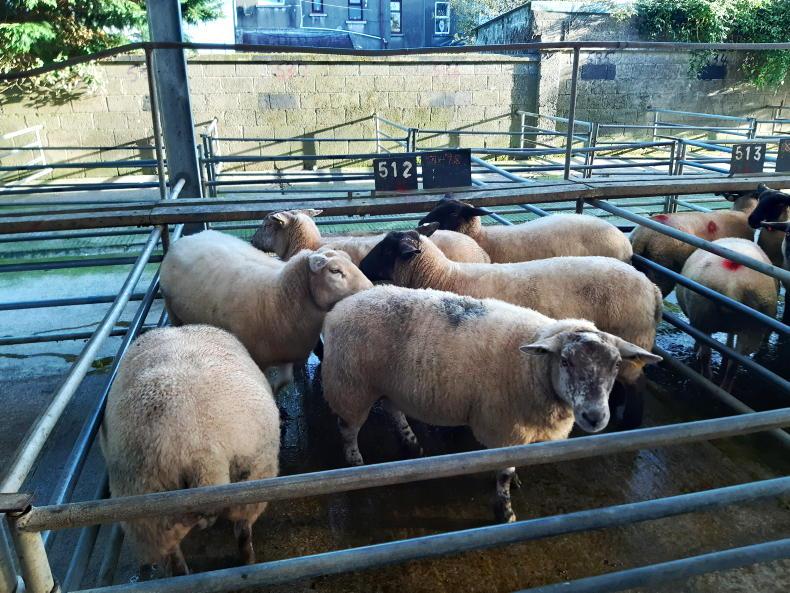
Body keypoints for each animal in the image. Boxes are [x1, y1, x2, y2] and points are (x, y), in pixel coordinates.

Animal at [100, 325, 280, 578]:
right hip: (254, 476)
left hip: (148, 509)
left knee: (173, 556)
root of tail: (203, 452)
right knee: (243, 530)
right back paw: (248, 563)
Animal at [160, 230, 372, 390]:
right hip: (172, 311)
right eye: (335, 271)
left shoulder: (287, 352)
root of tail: (188, 237)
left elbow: (284, 381)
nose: (370, 289)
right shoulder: (257, 359)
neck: (278, 296)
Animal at [321, 285, 661, 522]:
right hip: (351, 386)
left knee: (393, 410)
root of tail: (339, 308)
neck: (531, 368)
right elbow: (504, 474)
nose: (595, 416)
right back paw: (355, 462)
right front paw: (505, 510)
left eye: (616, 365)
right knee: (348, 428)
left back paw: (410, 443)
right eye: (565, 361)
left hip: (389, 385)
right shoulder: (506, 428)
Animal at [359, 225, 663, 429]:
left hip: (633, 335)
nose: (361, 265)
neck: (443, 276)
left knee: (638, 384)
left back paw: (631, 422)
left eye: (387, 249)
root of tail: (652, 288)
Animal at [676, 239, 778, 390]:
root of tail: (732, 287)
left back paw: (707, 379)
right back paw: (725, 387)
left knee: (706, 355)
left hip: (701, 317)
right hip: (754, 327)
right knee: (734, 363)